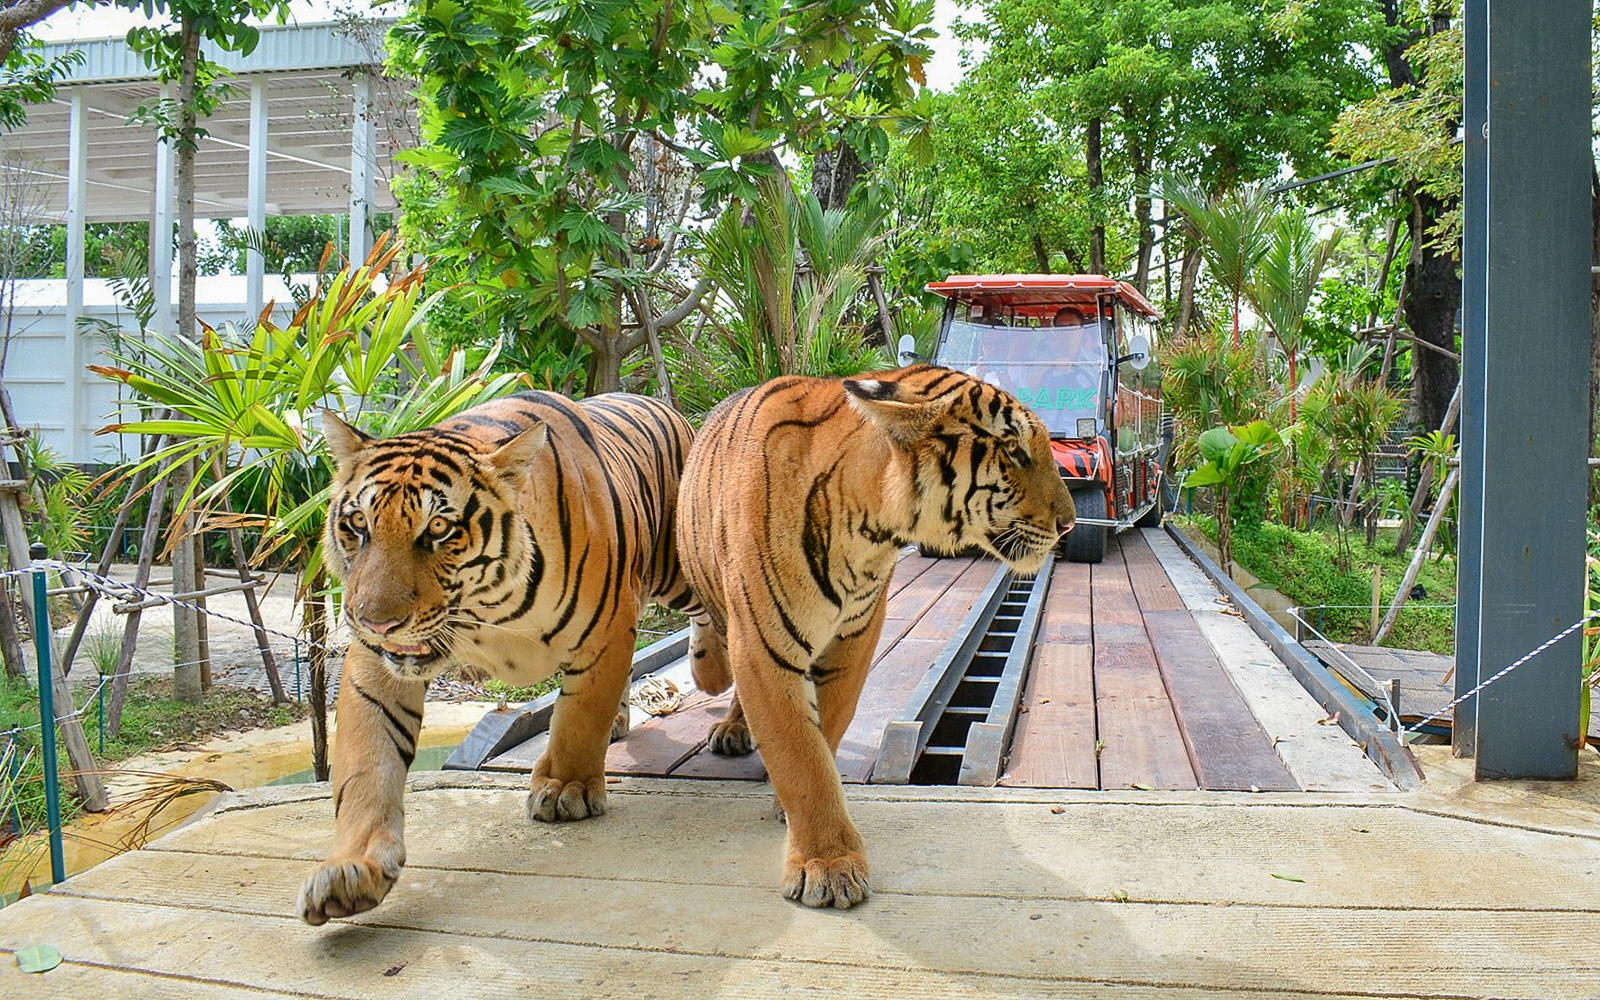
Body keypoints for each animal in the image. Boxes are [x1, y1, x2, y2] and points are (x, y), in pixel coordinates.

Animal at [297, 390, 701, 926]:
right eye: (358, 523)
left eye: (439, 528)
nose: (376, 621)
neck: (486, 610)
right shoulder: (375, 665)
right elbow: (367, 762)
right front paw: (351, 868)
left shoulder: (607, 629)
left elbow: (579, 718)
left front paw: (566, 788)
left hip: (686, 571)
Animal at [677, 364, 1076, 909]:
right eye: (1014, 451)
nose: (1069, 523)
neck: (870, 529)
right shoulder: (762, 642)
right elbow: (799, 753)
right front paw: (828, 864)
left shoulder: (855, 637)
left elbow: (826, 729)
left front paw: (806, 824)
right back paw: (730, 719)